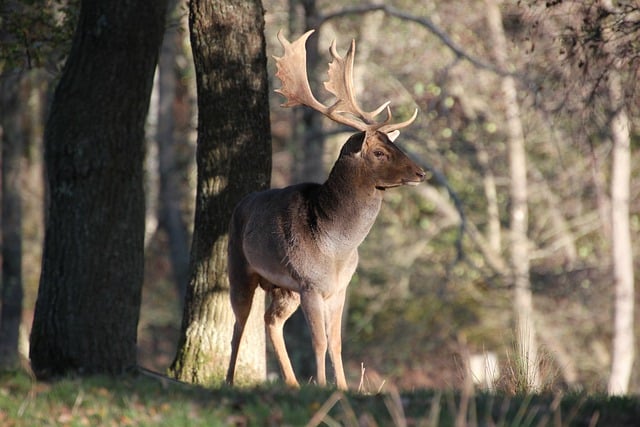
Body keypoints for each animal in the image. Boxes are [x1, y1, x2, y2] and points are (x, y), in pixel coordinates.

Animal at [225, 29, 424, 392]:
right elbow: (318, 341)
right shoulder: (309, 283)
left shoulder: (339, 288)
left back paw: (291, 383)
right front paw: (320, 385)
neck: (337, 247)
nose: (421, 173)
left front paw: (343, 388)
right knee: (238, 326)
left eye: (395, 144)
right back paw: (230, 380)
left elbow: (337, 343)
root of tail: (242, 203)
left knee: (270, 321)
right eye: (378, 152)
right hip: (240, 267)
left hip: (283, 288)